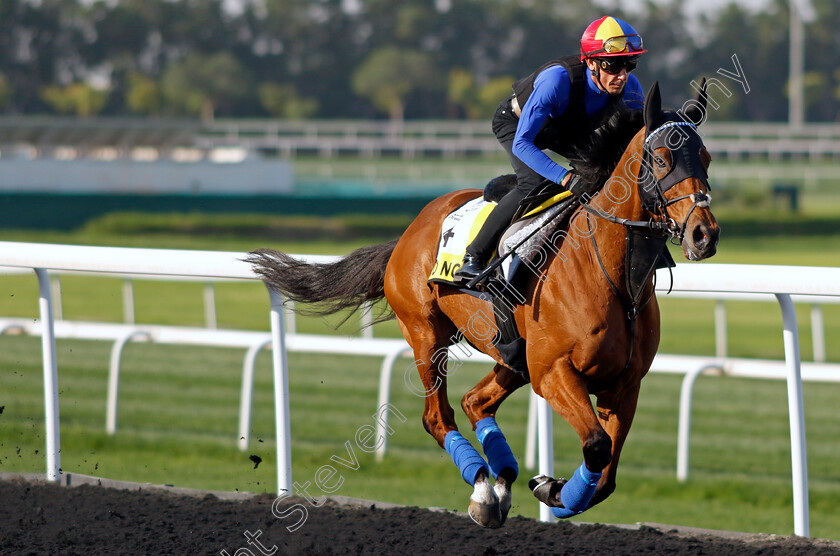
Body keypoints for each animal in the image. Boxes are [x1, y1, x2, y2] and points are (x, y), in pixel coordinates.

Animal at [246, 81, 720, 524]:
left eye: (707, 157)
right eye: (661, 159)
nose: (704, 234)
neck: (612, 276)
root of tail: (409, 231)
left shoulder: (624, 383)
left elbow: (605, 476)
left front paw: (552, 487)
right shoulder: (554, 372)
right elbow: (597, 447)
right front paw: (551, 488)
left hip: (513, 356)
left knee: (476, 402)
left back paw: (502, 482)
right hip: (426, 335)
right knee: (438, 417)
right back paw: (482, 489)